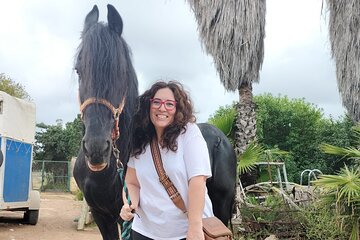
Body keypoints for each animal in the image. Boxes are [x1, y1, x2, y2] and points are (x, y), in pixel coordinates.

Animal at [73, 4, 236, 240]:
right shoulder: (101, 215)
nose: (96, 148)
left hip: (222, 204)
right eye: (78, 70)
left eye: (121, 72)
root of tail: (219, 138)